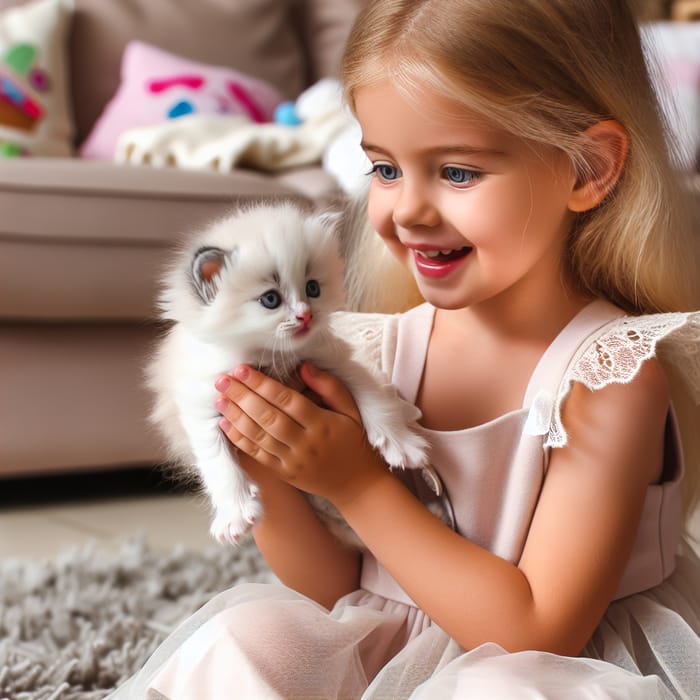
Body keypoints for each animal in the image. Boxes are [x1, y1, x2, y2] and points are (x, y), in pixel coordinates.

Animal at [147, 202, 430, 548]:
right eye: (270, 299)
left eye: (313, 288)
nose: (306, 316)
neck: (272, 356)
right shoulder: (203, 402)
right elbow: (218, 462)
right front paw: (235, 514)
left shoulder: (337, 362)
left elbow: (375, 399)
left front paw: (402, 444)